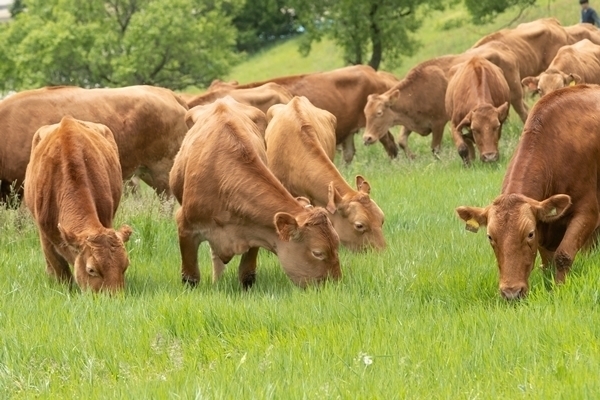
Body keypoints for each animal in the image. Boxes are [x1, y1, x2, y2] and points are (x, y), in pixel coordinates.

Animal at [169, 95, 342, 290]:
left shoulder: (255, 230)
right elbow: (190, 277)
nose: (336, 284)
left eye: (337, 245)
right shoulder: (185, 226)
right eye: (317, 253)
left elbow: (247, 274)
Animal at [454, 85, 600, 300]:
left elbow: (563, 255)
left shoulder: (587, 213)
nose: (511, 293)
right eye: (490, 237)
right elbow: (547, 263)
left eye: (529, 233)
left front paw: (559, 289)